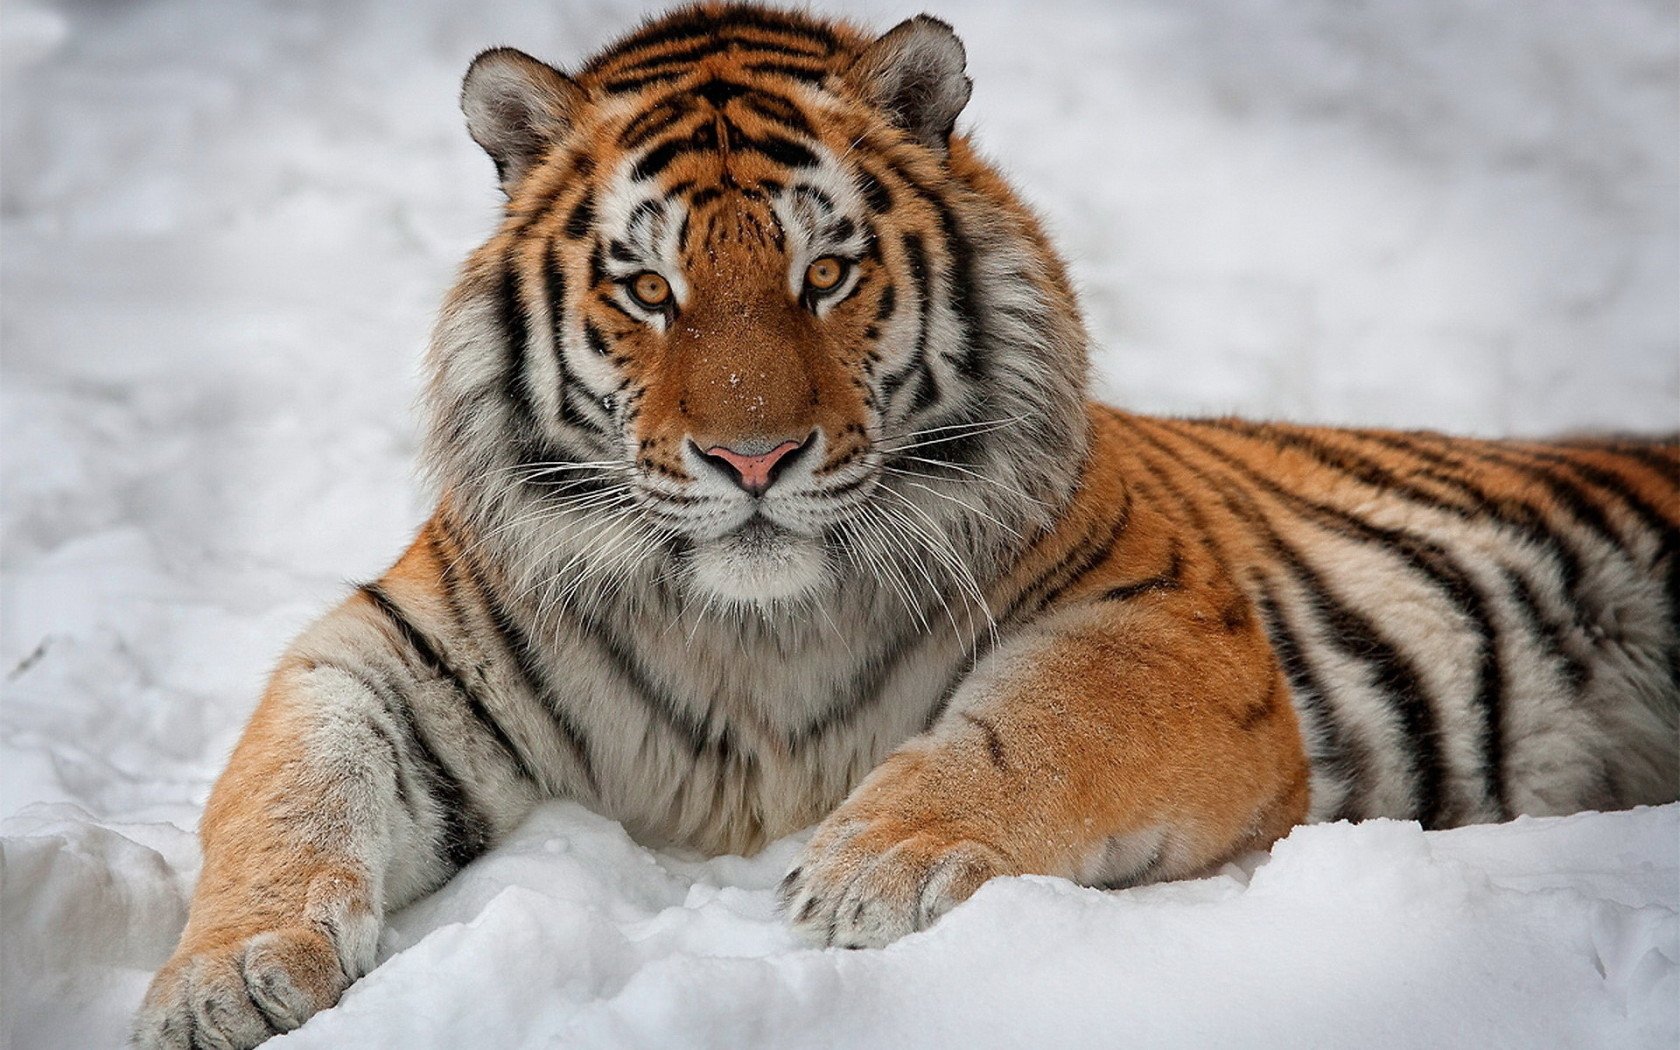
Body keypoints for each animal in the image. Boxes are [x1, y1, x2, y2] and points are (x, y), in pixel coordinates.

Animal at [134, 4, 1680, 1041]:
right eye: (648, 289)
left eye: (826, 272)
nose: (752, 455)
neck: (749, 635)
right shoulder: (385, 654)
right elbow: (284, 793)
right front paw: (221, 978)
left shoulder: (1167, 623)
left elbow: (1032, 729)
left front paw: (873, 868)